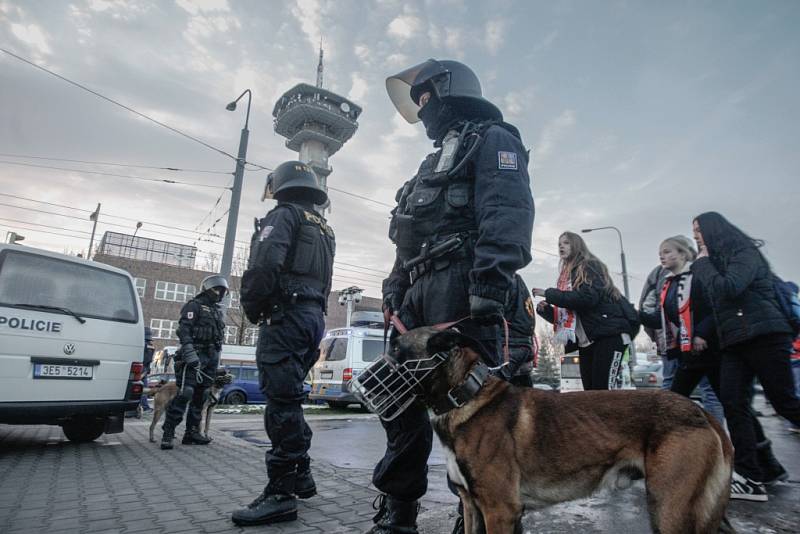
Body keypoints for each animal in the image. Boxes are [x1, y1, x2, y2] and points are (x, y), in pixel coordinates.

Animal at [396, 328, 736, 532]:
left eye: (397, 351)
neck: (466, 395)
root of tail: (702, 412)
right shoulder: (471, 507)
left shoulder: (498, 510)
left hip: (669, 511)